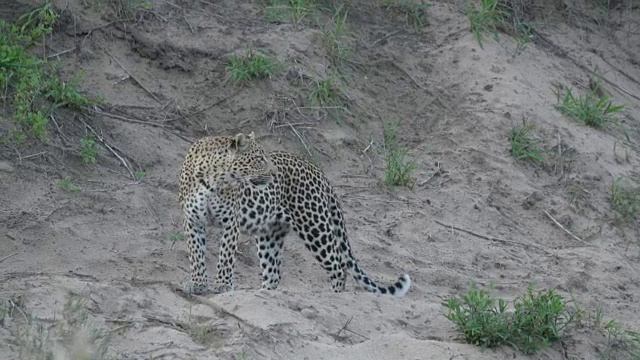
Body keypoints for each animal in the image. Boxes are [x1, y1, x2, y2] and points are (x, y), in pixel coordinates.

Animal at [178, 131, 412, 296]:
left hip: (315, 226)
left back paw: (335, 295)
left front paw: (223, 286)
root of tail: (317, 170)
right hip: (270, 234)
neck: (212, 179)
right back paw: (263, 293)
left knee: (338, 265)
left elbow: (225, 256)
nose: (274, 174)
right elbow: (196, 254)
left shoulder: (230, 221)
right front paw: (198, 284)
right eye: (260, 159)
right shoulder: (192, 220)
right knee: (273, 273)